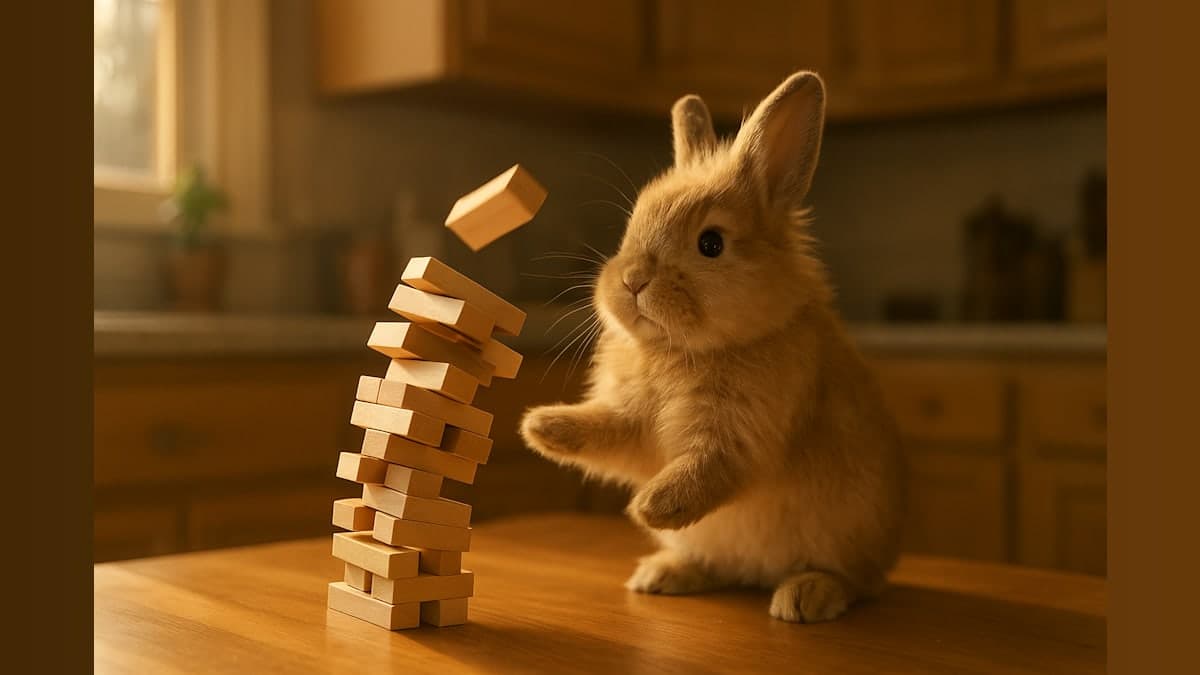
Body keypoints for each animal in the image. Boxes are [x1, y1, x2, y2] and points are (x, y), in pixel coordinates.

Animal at [520, 71, 905, 623]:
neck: (682, 349)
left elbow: (708, 470)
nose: (632, 280)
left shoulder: (741, 435)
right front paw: (541, 427)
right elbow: (608, 432)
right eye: (631, 226)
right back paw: (662, 574)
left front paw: (651, 507)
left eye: (711, 244)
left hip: (848, 535)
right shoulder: (633, 426)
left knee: (856, 581)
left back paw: (805, 596)